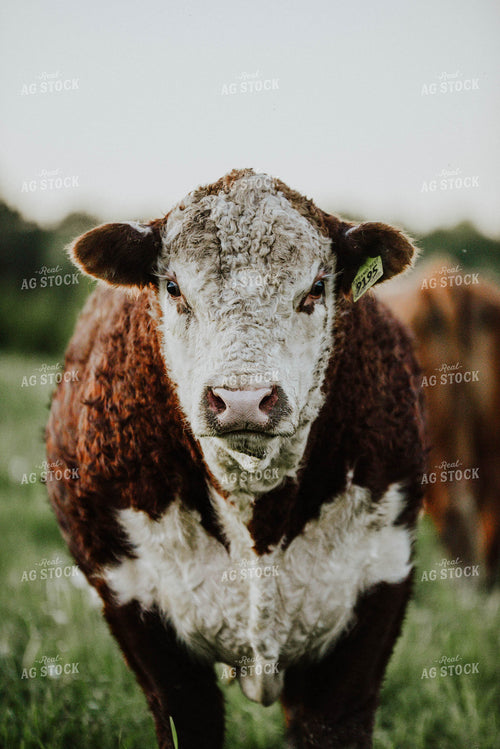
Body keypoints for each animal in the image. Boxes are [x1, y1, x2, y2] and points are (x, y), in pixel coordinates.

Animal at [45, 168, 426, 749]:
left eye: (317, 287)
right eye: (173, 287)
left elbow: (332, 721)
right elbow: (186, 717)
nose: (243, 399)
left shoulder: (380, 583)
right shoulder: (130, 599)